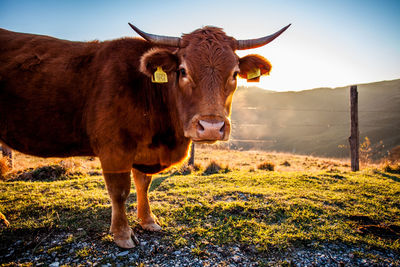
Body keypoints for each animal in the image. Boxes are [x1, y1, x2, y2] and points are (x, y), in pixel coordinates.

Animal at [1, 23, 292, 249]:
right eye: (182, 71)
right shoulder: (114, 149)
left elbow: (144, 184)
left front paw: (148, 221)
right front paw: (122, 235)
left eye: (234, 73)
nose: (211, 126)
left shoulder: (146, 150)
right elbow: (119, 191)